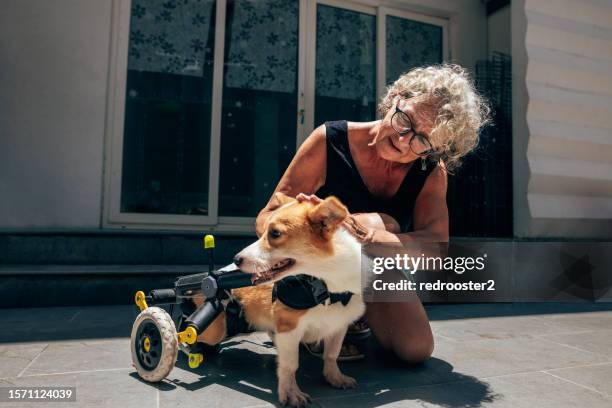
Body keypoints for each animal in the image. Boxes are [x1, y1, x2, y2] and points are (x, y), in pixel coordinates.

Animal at [196, 193, 366, 406]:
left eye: (275, 233)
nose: (236, 259)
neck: (325, 285)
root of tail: (211, 277)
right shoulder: (289, 329)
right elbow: (290, 365)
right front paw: (291, 393)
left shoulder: (338, 326)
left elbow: (331, 354)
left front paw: (335, 377)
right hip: (215, 330)